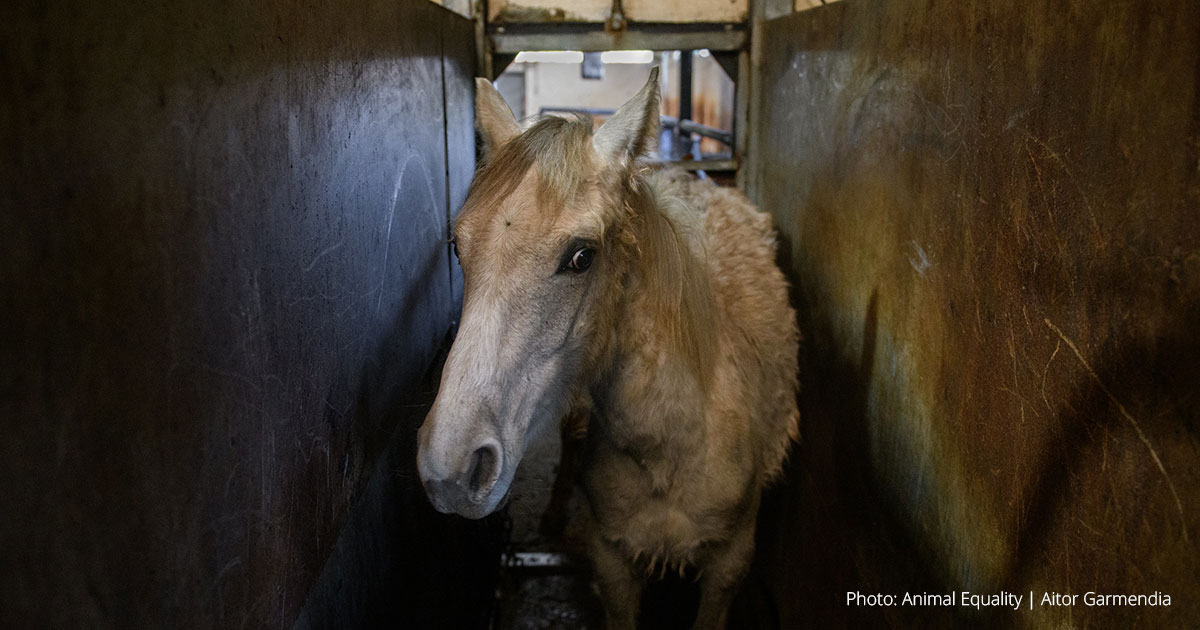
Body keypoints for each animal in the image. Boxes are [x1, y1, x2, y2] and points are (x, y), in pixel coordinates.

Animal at [416, 68, 800, 630]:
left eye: (582, 256)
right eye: (459, 249)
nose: (451, 469)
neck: (670, 447)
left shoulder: (729, 567)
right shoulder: (612, 562)